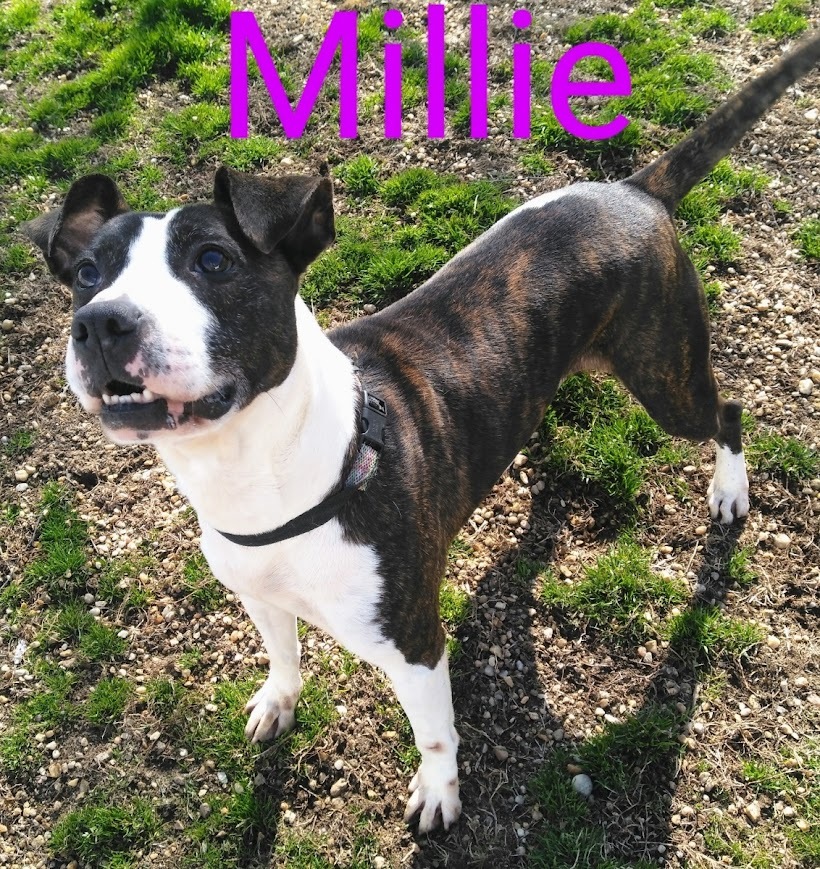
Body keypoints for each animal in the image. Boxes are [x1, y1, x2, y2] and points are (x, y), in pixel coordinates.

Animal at [24, 32, 820, 836]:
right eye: (86, 273)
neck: (268, 480)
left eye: (213, 260)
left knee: (727, 411)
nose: (101, 323)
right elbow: (282, 655)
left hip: (664, 372)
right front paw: (279, 701)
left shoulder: (412, 642)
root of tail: (633, 188)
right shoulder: (257, 593)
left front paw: (440, 791)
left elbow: (434, 729)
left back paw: (729, 489)